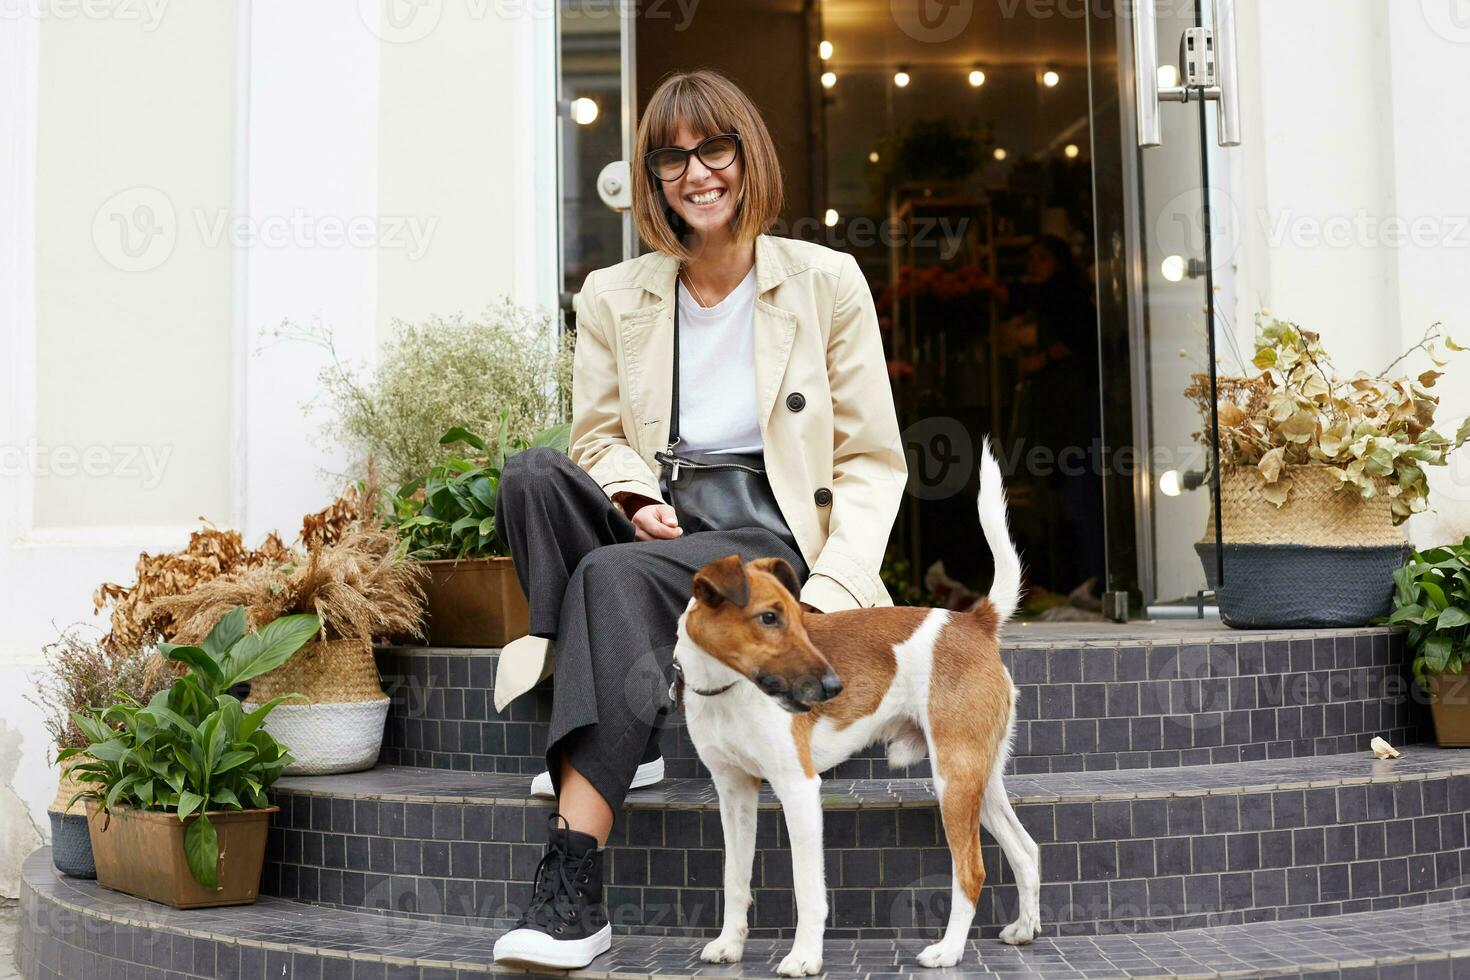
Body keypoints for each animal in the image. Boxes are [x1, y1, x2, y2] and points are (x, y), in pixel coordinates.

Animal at [673, 443, 1040, 975]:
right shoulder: (734, 793)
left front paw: (804, 957)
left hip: (954, 778)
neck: (730, 692)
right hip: (980, 781)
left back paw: (948, 951)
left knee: (971, 870)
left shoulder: (799, 790)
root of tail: (974, 622)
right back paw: (1024, 929)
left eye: (797, 618)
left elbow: (808, 889)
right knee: (1025, 850)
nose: (833, 686)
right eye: (769, 618)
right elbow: (734, 878)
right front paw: (730, 944)